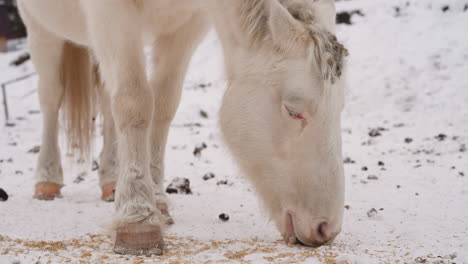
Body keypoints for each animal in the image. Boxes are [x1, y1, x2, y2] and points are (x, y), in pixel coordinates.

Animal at [17, 0, 348, 256]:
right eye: (293, 111)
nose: (326, 228)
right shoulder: (112, 14)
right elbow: (134, 102)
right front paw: (137, 220)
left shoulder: (187, 26)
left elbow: (162, 104)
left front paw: (157, 201)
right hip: (40, 28)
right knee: (51, 98)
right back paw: (47, 180)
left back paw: (112, 180)